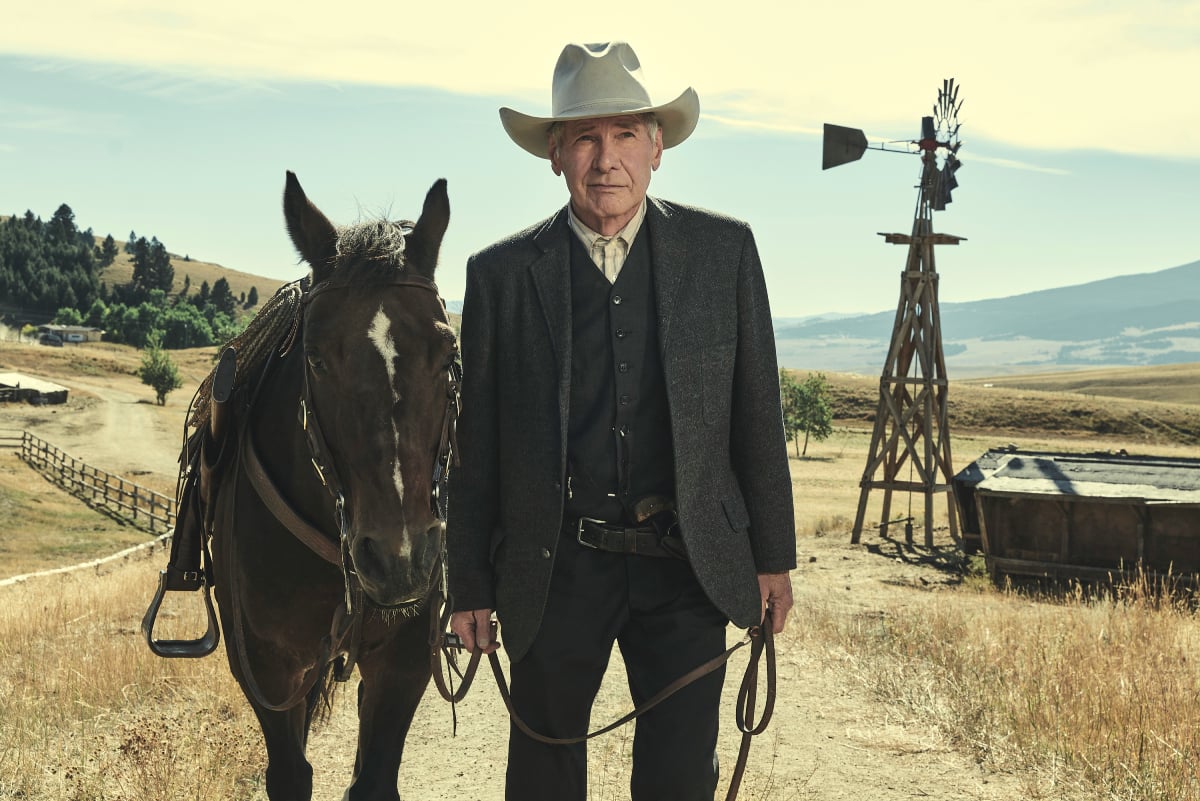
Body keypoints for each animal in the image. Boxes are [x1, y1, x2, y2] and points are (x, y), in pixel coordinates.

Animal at [178, 175, 458, 801]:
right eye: (316, 358)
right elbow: (290, 773)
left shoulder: (402, 661)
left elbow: (373, 779)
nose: (400, 559)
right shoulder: (268, 667)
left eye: (448, 351)